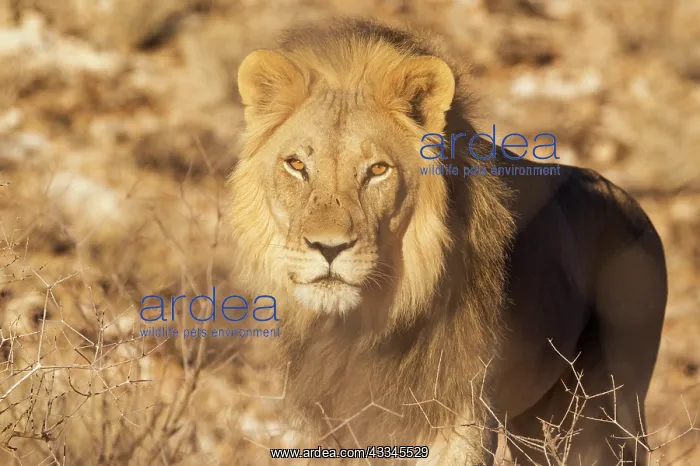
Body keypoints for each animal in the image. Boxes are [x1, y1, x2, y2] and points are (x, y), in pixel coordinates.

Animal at [227, 18, 667, 466]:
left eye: (378, 170)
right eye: (296, 165)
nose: (328, 248)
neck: (366, 323)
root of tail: (638, 208)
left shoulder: (460, 416)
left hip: (610, 411)